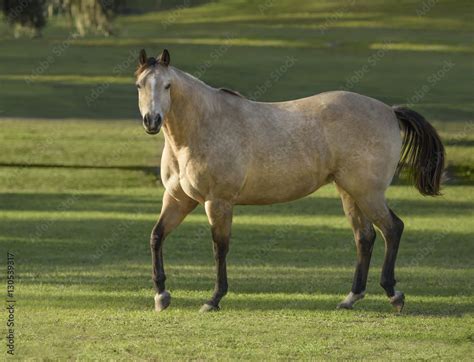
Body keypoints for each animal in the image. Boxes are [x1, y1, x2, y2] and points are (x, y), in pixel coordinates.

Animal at [133, 48, 444, 314]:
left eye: (167, 86)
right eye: (139, 85)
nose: (152, 120)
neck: (202, 127)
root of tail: (389, 111)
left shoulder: (217, 201)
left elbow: (219, 248)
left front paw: (213, 299)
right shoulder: (178, 199)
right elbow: (156, 236)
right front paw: (161, 295)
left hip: (368, 193)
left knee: (392, 229)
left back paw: (394, 295)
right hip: (350, 192)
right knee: (365, 237)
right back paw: (351, 298)